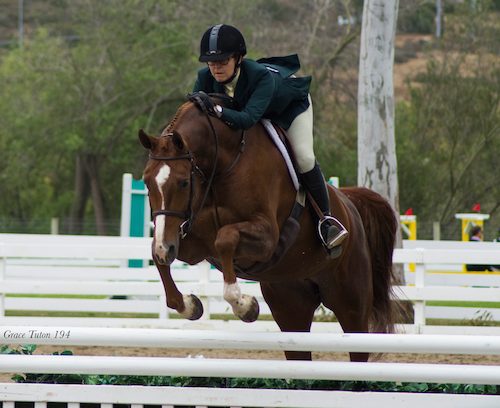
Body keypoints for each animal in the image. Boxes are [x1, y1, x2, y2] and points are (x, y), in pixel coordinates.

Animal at [139, 97, 400, 362]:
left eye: (183, 182)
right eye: (146, 181)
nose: (165, 249)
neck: (224, 163)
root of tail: (349, 203)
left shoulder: (267, 238)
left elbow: (226, 238)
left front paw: (244, 305)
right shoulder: (191, 242)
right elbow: (159, 257)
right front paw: (191, 305)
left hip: (351, 304)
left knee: (358, 346)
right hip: (291, 307)